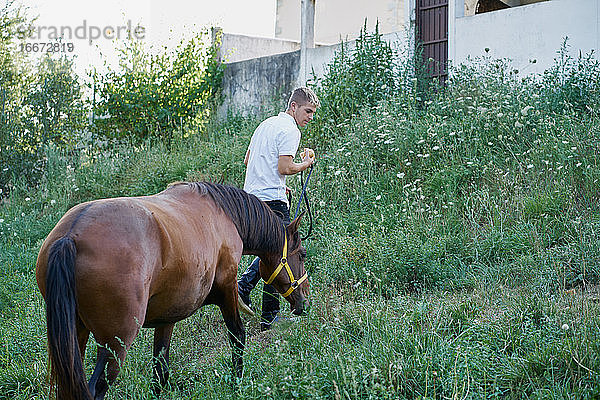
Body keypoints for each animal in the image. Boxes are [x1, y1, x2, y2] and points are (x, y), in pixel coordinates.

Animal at [34, 182, 310, 400]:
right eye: (302, 255)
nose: (304, 300)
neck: (223, 215)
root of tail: (70, 236)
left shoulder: (166, 319)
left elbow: (160, 372)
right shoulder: (227, 291)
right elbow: (237, 338)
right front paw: (236, 383)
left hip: (76, 339)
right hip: (115, 343)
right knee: (95, 389)